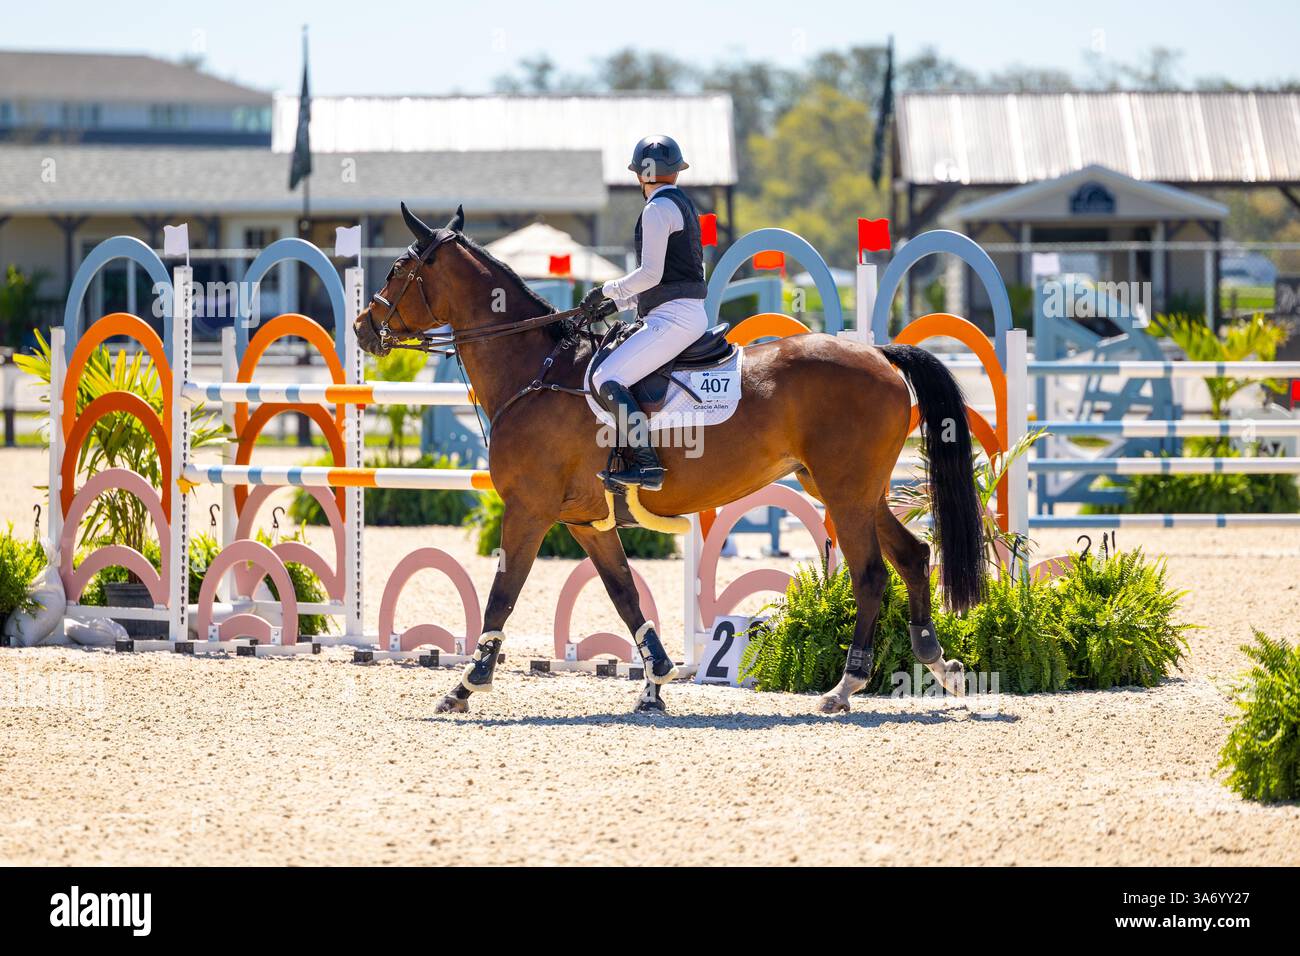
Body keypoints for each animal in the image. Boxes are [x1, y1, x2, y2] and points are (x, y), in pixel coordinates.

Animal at [353, 203, 984, 714]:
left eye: (397, 270)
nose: (362, 328)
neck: (534, 372)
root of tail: (879, 354)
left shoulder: (528, 511)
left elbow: (502, 595)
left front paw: (466, 684)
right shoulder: (588, 521)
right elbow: (625, 594)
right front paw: (655, 680)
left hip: (844, 491)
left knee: (871, 573)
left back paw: (845, 688)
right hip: (849, 487)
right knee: (912, 556)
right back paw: (940, 665)